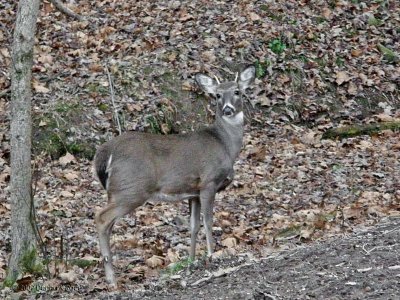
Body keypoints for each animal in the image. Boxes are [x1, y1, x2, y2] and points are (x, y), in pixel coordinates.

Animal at [93, 65, 255, 286]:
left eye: (237, 91)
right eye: (217, 95)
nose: (227, 109)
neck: (225, 145)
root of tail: (105, 152)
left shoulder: (193, 192)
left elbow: (194, 226)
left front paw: (192, 260)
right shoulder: (209, 182)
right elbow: (208, 221)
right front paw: (212, 255)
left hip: (119, 191)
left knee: (108, 224)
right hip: (131, 188)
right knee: (101, 217)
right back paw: (111, 278)